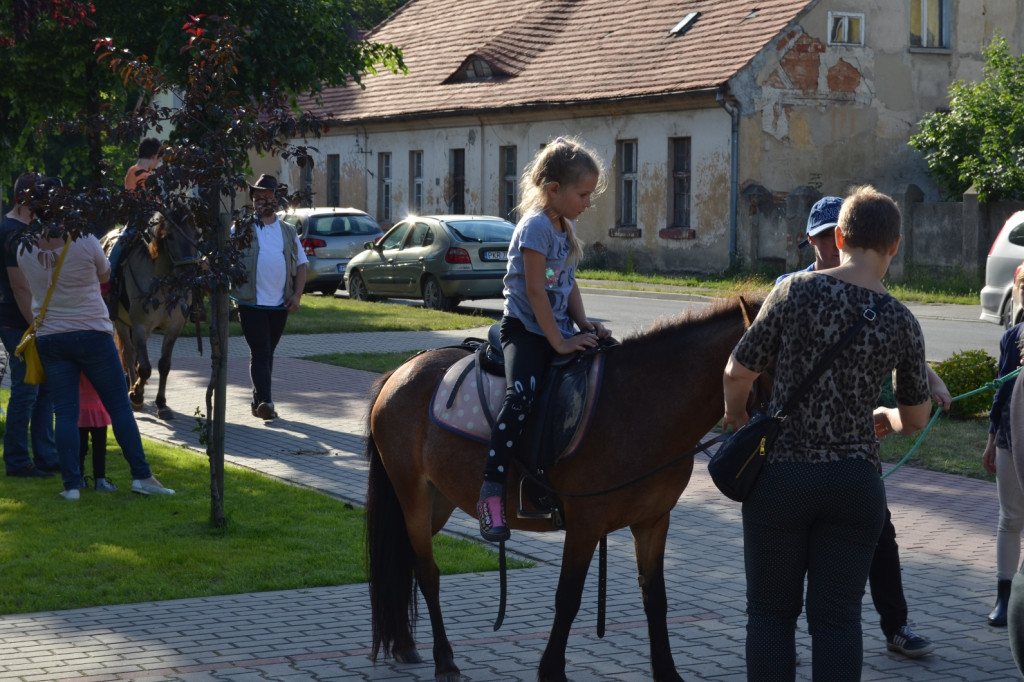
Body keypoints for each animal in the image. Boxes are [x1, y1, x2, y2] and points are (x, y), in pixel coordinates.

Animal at [366, 296, 761, 679]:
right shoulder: (586, 523)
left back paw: (404, 645)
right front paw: (551, 671)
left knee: (408, 561)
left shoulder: (653, 521)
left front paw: (667, 672)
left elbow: (655, 598)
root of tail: (399, 371)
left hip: (438, 499)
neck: (639, 407)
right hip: (413, 495)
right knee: (428, 572)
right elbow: (568, 598)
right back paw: (445, 661)